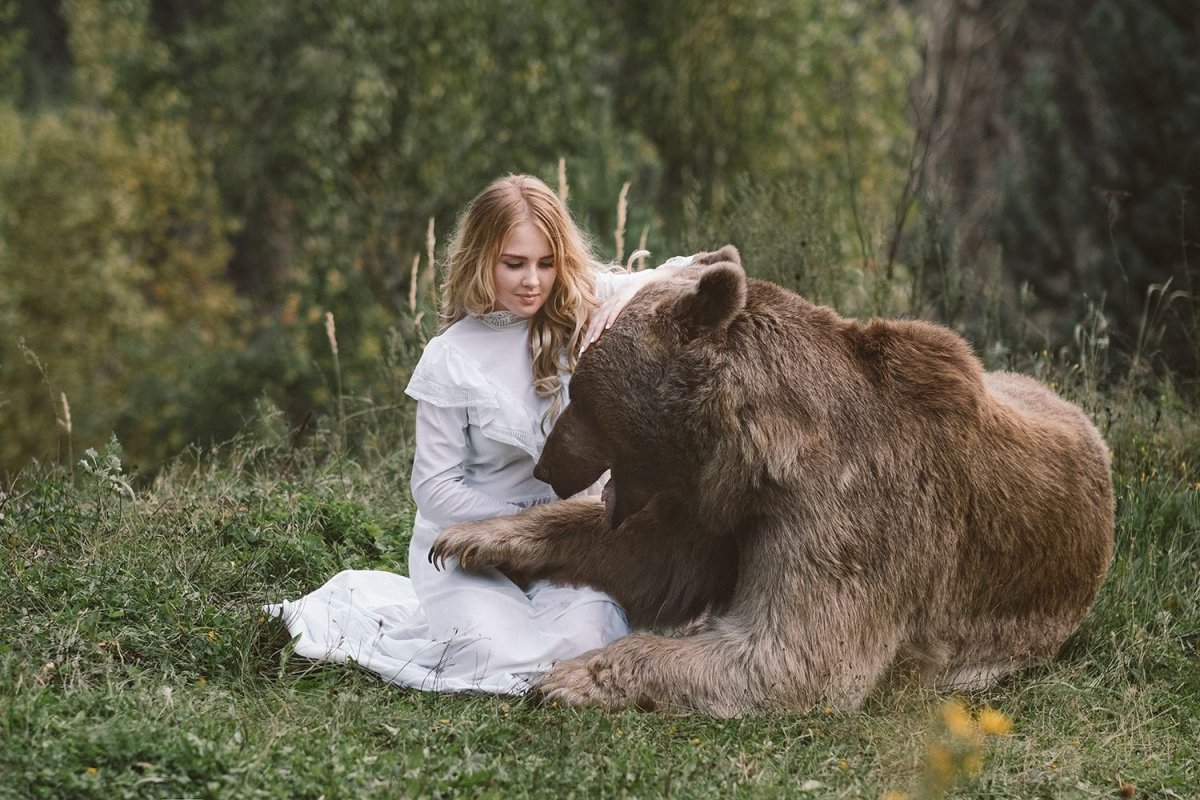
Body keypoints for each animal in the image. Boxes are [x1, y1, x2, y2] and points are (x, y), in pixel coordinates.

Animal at [430, 245, 1115, 716]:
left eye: (581, 393)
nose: (546, 464)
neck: (761, 456)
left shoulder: (850, 516)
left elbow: (790, 655)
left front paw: (568, 677)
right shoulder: (724, 512)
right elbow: (650, 556)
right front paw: (475, 538)